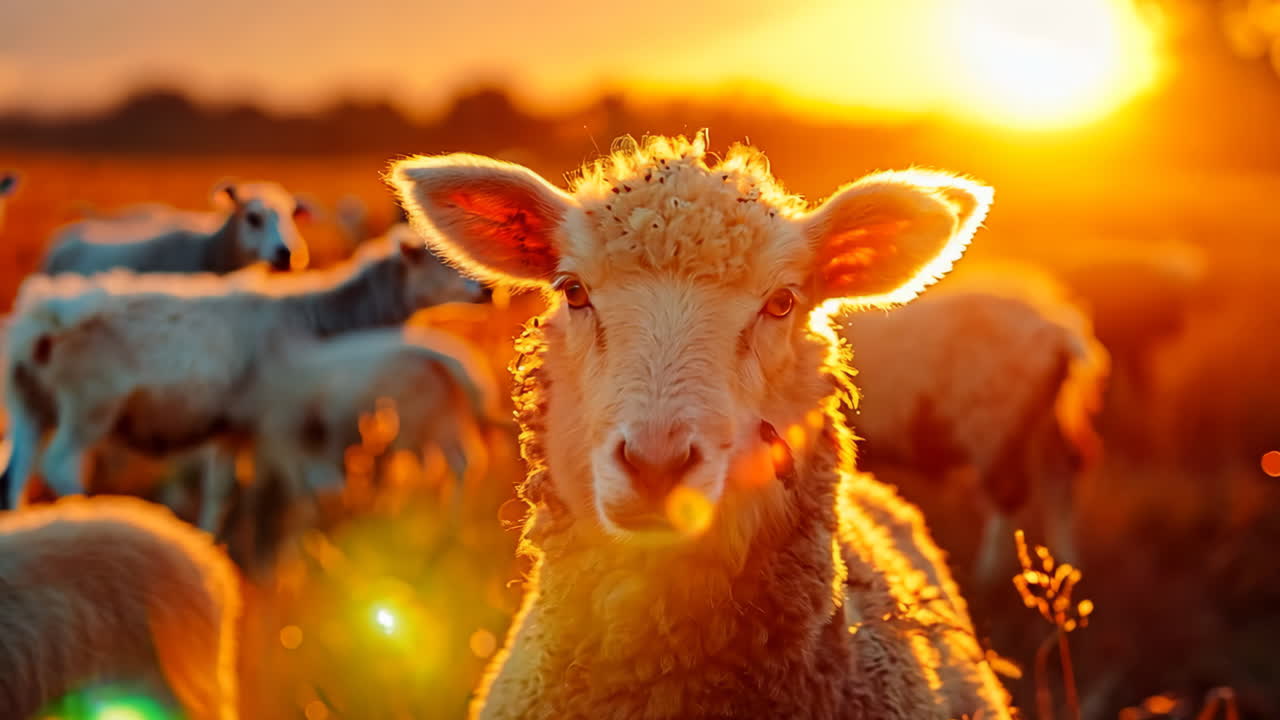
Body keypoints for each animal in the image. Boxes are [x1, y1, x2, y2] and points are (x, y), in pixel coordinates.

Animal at [1, 226, 488, 516]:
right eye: (442, 259)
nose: (487, 289)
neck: (314, 316)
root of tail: (43, 318)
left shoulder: (233, 426)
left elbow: (221, 492)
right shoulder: (281, 423)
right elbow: (301, 491)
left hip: (31, 406)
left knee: (16, 474)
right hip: (89, 405)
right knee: (59, 465)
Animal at [838, 260, 1109, 587]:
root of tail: (1054, 329)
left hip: (993, 424)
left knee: (1009, 494)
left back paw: (989, 575)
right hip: (1045, 419)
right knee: (1061, 476)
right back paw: (1066, 560)